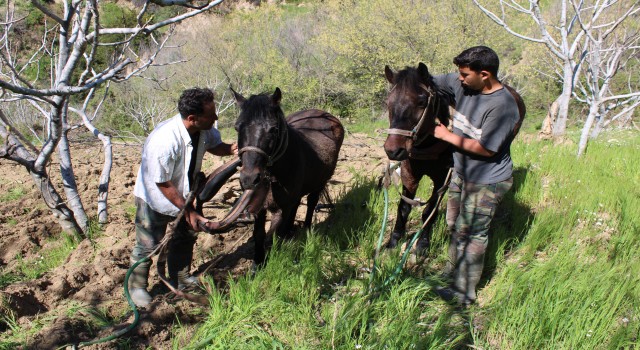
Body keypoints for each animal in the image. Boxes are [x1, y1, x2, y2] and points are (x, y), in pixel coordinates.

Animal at [225, 87, 344, 266]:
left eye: (274, 129)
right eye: (237, 127)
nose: (249, 179)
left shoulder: (283, 207)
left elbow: (273, 236)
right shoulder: (260, 206)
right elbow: (259, 235)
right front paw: (257, 264)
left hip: (319, 183)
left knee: (311, 203)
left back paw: (306, 229)